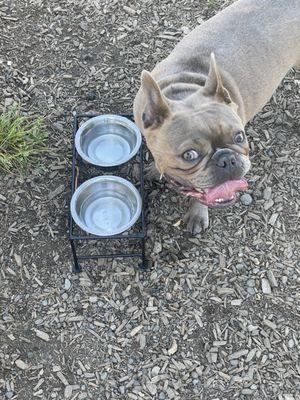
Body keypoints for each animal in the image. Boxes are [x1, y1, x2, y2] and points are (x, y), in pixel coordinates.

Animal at [134, 0, 300, 234]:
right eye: (189, 155)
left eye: (239, 137)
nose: (227, 159)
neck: (184, 89)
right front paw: (154, 169)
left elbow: (201, 196)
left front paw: (197, 214)